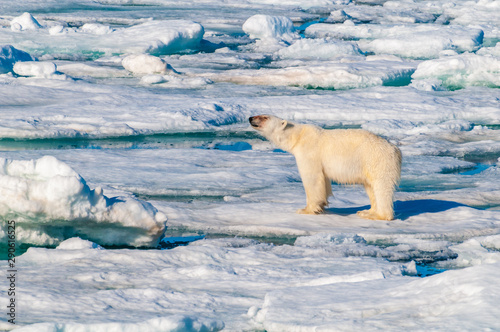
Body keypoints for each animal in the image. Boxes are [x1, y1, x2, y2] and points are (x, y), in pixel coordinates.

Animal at [250, 114, 402, 220]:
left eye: (264, 117)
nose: (250, 118)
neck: (297, 136)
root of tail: (395, 149)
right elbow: (324, 181)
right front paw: (322, 205)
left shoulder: (309, 152)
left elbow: (312, 179)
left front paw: (306, 209)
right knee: (370, 187)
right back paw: (367, 211)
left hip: (377, 160)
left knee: (381, 187)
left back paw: (377, 215)